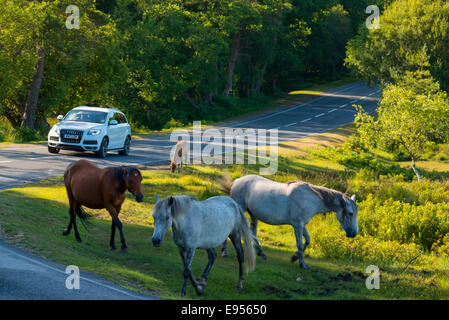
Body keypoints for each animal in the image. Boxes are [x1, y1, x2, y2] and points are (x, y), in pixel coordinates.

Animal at [219, 174, 358, 268]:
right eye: (350, 213)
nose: (353, 234)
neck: (310, 198)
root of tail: (237, 181)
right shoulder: (297, 225)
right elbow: (300, 244)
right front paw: (302, 263)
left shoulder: (302, 224)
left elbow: (307, 240)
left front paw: (294, 257)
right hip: (240, 209)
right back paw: (224, 252)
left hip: (253, 214)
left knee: (253, 232)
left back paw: (261, 253)